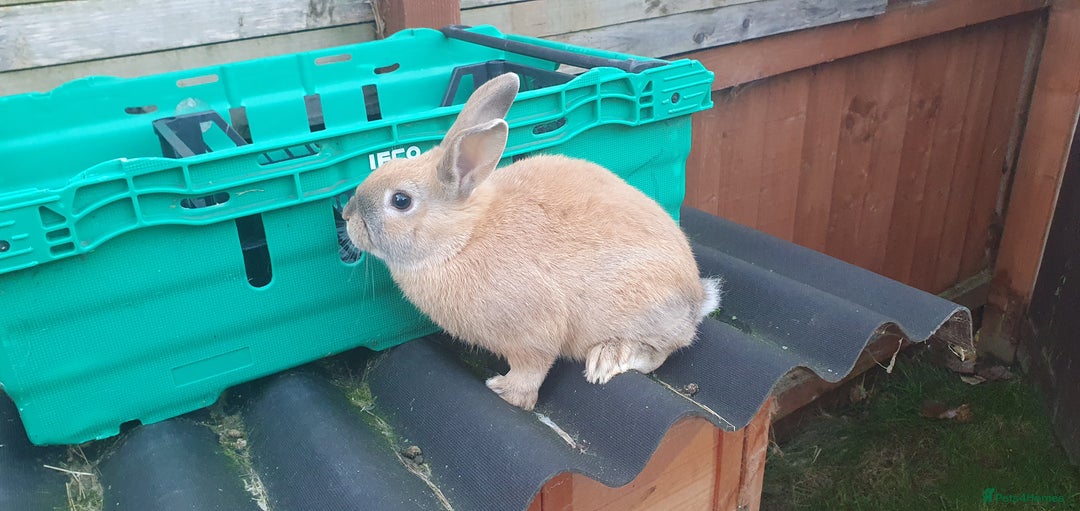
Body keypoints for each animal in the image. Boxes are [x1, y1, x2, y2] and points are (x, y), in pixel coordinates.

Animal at [341, 72, 722, 410]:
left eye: (400, 200)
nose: (347, 215)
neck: (463, 238)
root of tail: (697, 298)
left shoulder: (532, 332)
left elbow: (532, 367)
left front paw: (506, 392)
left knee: (662, 351)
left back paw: (606, 360)